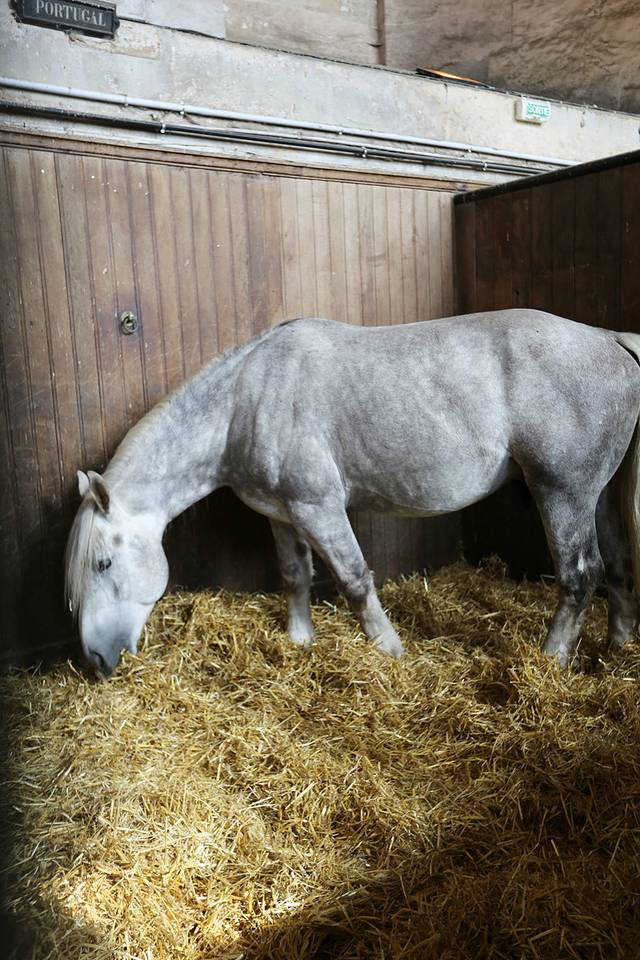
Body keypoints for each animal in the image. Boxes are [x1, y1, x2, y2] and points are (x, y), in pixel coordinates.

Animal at [65, 310, 640, 677]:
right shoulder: (282, 514)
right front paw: (300, 642)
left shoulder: (319, 509)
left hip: (562, 492)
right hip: (599, 495)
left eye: (102, 564)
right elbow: (295, 575)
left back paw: (551, 660)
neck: (245, 399)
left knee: (579, 575)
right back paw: (617, 648)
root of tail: (611, 337)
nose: (96, 660)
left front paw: (389, 650)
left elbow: (354, 579)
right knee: (616, 564)